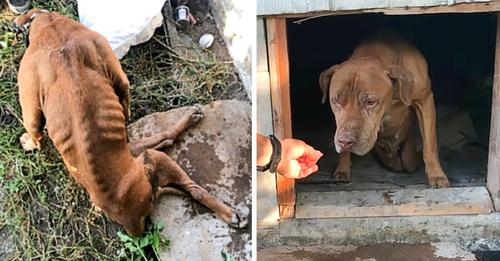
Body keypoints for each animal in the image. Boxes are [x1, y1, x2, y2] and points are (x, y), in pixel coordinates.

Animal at [14, 9, 249, 235]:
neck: (51, 27)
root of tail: (131, 220)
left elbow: (35, 130)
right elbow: (36, 132)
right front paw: (30, 143)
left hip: (146, 157)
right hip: (152, 157)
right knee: (191, 184)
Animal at [320, 31, 450, 188]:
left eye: (371, 102)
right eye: (335, 101)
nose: (345, 142)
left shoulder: (425, 101)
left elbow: (429, 145)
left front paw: (437, 175)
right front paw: (342, 168)